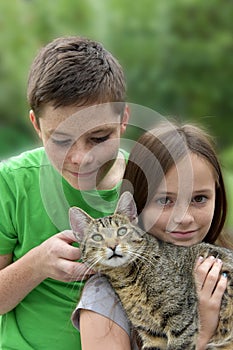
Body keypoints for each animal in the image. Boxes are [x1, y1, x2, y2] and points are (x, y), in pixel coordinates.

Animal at [69, 191, 233, 350]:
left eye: (122, 231)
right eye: (97, 237)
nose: (112, 246)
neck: (127, 281)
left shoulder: (181, 320)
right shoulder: (151, 333)